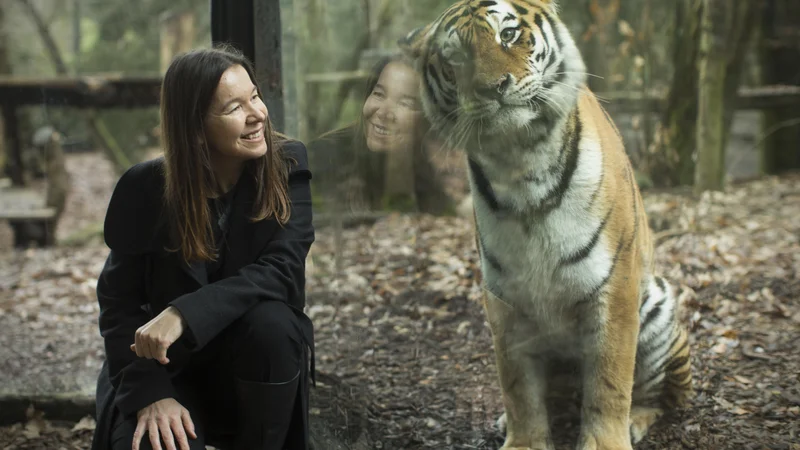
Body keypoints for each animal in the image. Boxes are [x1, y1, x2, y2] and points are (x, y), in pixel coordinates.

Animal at [400, 0, 692, 450]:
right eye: (456, 59)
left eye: (507, 34)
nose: (493, 88)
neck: (520, 164)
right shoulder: (504, 296)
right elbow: (517, 385)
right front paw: (523, 439)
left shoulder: (615, 287)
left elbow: (610, 380)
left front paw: (606, 441)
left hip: (657, 304)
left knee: (662, 396)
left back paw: (636, 419)